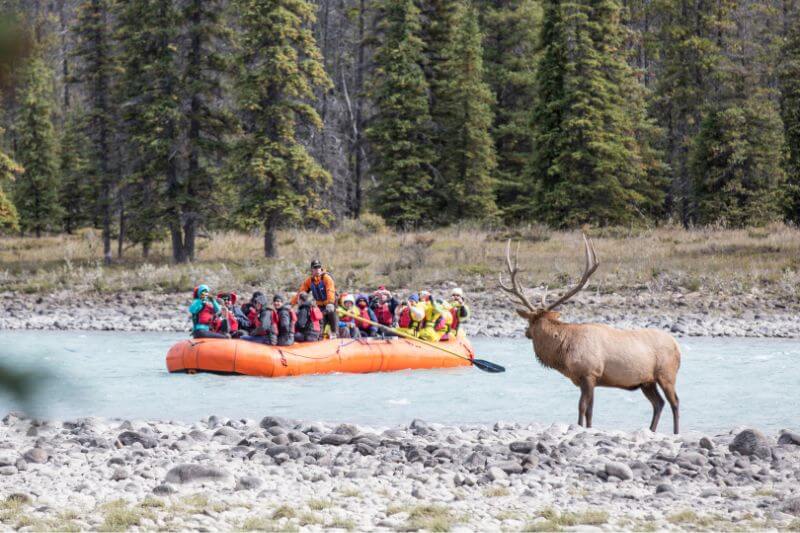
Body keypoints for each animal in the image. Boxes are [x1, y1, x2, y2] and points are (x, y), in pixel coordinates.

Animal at [500, 237, 680, 432]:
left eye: (530, 322)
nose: (526, 333)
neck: (564, 352)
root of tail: (677, 347)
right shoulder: (587, 379)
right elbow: (589, 410)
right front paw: (588, 427)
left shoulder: (589, 373)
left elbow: (582, 407)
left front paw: (580, 427)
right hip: (647, 381)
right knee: (658, 403)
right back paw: (651, 430)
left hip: (666, 374)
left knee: (674, 402)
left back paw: (676, 432)